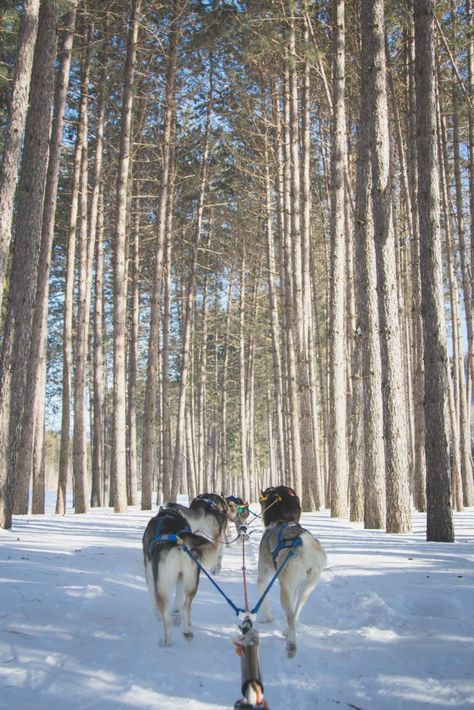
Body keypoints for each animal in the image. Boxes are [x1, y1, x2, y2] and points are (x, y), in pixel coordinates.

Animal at [141, 506, 215, 644]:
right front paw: (176, 610)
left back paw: (166, 641)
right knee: (186, 606)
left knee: (166, 617)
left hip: (161, 585)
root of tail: (179, 541)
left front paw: (156, 614)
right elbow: (178, 597)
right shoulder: (181, 577)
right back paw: (187, 630)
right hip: (191, 584)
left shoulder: (150, 574)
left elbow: (152, 596)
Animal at [256, 486, 326, 660]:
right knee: (295, 613)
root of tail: (305, 546)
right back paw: (287, 633)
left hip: (285, 588)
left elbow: (263, 598)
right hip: (306, 588)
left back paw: (291, 645)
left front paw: (266, 618)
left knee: (290, 615)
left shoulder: (263, 577)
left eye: (263, 498)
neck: (281, 520)